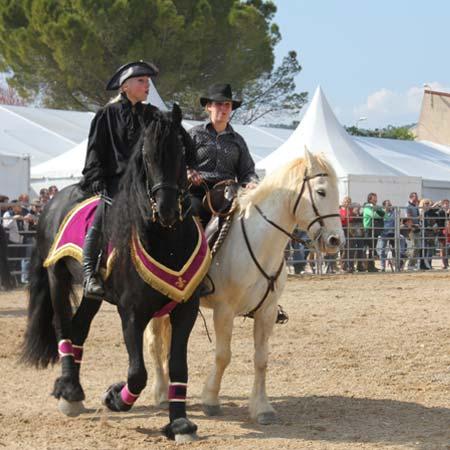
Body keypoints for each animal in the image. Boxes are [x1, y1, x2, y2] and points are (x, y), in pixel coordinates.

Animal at [21, 104, 208, 442]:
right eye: (146, 155)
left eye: (181, 151)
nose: (167, 209)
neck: (166, 240)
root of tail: (53, 201)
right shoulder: (131, 312)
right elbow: (137, 374)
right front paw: (114, 398)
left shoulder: (186, 307)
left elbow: (178, 365)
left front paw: (179, 423)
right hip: (57, 278)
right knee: (63, 327)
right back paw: (68, 391)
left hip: (92, 294)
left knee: (79, 328)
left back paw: (73, 390)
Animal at [146, 148, 344, 424]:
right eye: (322, 191)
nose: (336, 240)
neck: (259, 243)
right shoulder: (224, 311)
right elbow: (223, 355)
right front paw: (210, 400)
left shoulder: (267, 312)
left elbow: (261, 359)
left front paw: (262, 408)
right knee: (155, 342)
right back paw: (162, 393)